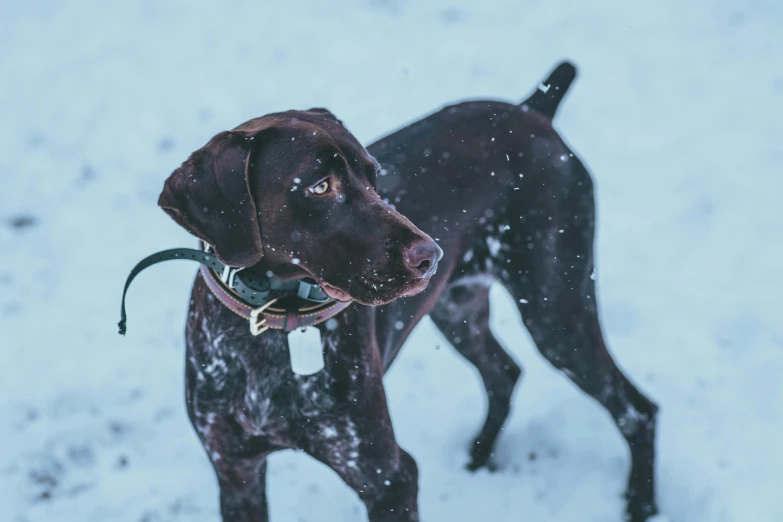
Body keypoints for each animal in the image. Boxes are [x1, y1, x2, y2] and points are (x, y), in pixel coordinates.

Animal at [145, 62, 656, 520]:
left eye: (375, 177)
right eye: (319, 186)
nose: (430, 255)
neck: (271, 324)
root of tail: (534, 111)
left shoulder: (388, 477)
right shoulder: (236, 473)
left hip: (555, 311)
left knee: (637, 408)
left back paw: (641, 505)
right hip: (458, 308)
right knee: (505, 373)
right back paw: (478, 457)